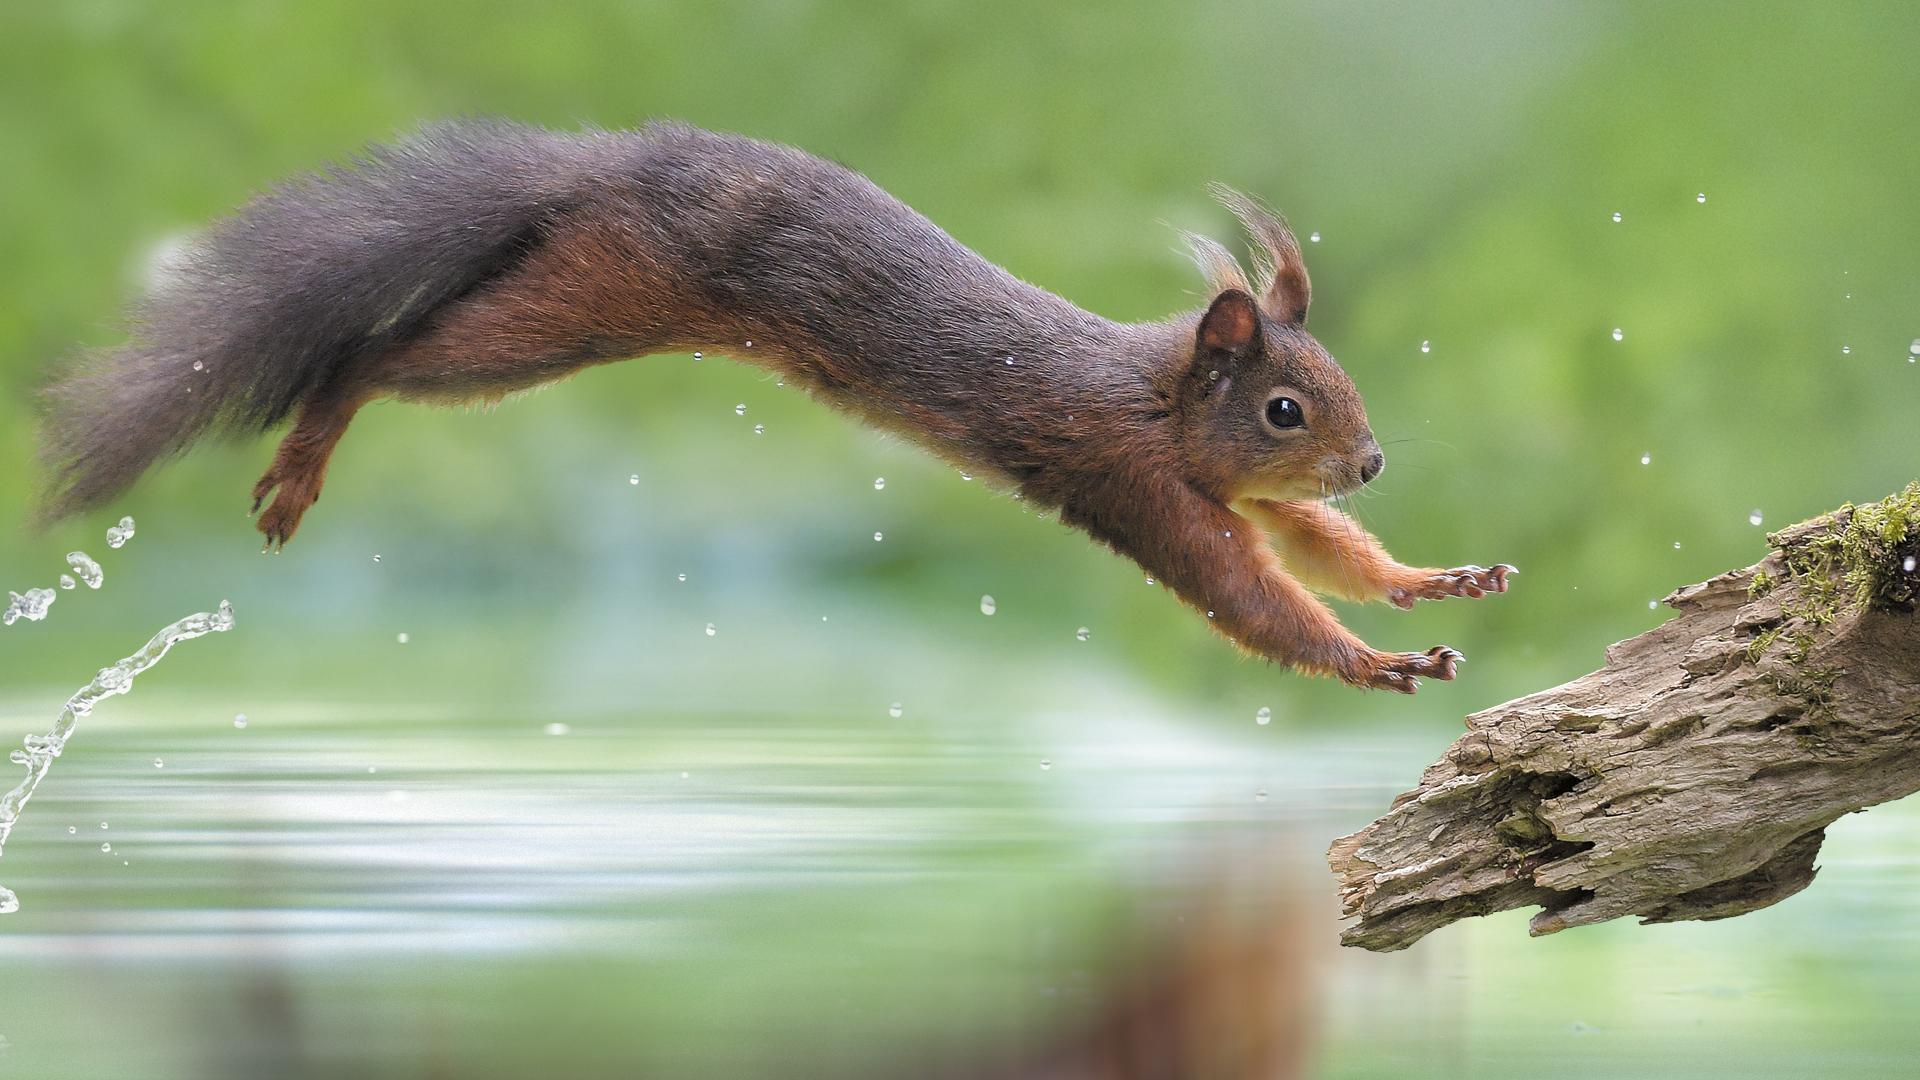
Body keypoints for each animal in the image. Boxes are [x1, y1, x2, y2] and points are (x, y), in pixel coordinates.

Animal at [37, 117, 1512, 687]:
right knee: (377, 358)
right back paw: (307, 454)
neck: (1158, 402)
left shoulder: (1229, 493)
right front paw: (1374, 661)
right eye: (1284, 410)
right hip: (578, 306)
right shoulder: (1138, 481)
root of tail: (616, 162)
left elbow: (1319, 551)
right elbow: (1253, 600)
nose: (1373, 462)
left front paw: (1429, 583)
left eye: (1337, 395)